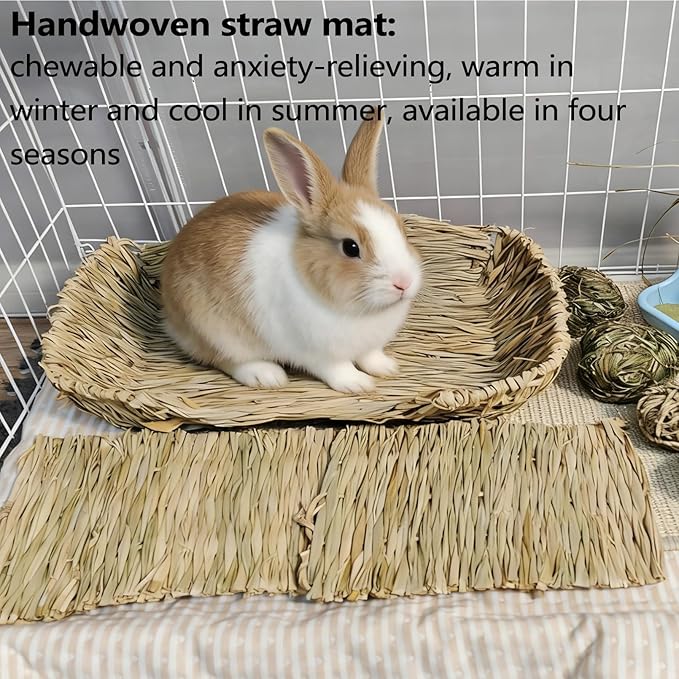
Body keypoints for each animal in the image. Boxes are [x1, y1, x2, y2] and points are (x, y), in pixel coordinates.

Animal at [160, 107, 422, 394]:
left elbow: (370, 355)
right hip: (215, 331)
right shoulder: (317, 353)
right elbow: (338, 369)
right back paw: (267, 376)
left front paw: (387, 368)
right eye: (350, 247)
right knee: (223, 359)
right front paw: (358, 384)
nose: (404, 283)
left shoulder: (369, 345)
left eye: (401, 228)